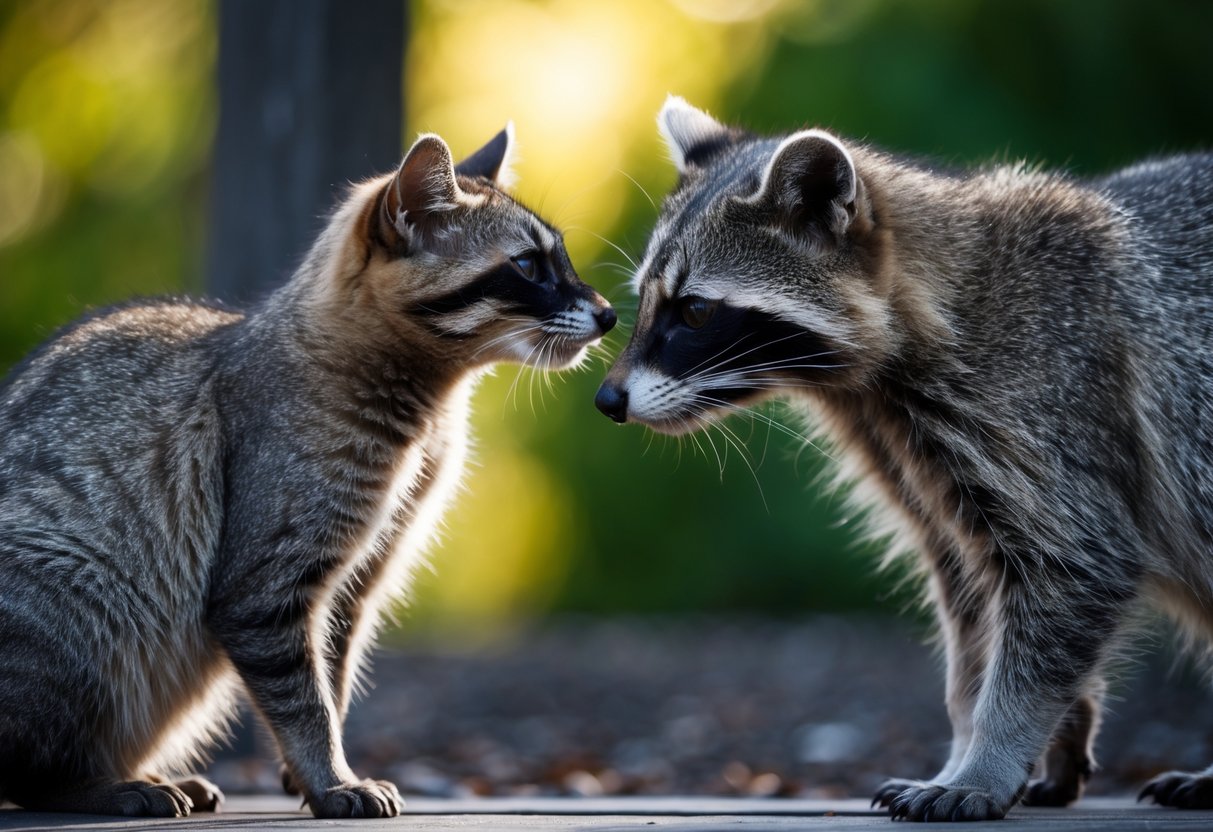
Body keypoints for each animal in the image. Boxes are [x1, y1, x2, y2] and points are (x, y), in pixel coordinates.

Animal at [0, 125, 615, 818]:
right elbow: (304, 700)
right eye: (529, 266)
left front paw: (316, 768)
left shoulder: (361, 576)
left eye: (559, 260)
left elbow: (334, 678)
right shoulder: (264, 583)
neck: (429, 404)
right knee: (29, 771)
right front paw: (328, 773)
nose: (610, 311)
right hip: (78, 608)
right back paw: (99, 783)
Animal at [596, 95, 1213, 821]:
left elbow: (1075, 568)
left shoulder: (1053, 405)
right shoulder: (925, 468)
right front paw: (999, 740)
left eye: (693, 311)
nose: (607, 399)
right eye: (644, 301)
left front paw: (989, 755)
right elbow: (972, 617)